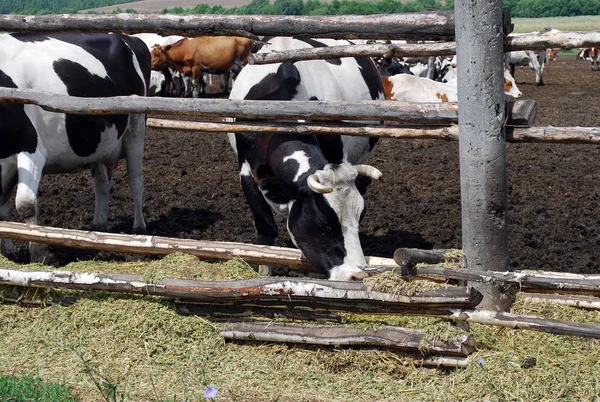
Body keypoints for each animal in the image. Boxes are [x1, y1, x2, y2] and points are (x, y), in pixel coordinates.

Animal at [0, 33, 150, 262]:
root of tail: (128, 38)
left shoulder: (32, 148)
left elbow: (25, 204)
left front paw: (41, 253)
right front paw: (8, 252)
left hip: (136, 124)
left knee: (136, 180)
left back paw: (139, 232)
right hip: (100, 143)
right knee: (102, 183)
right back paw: (98, 226)